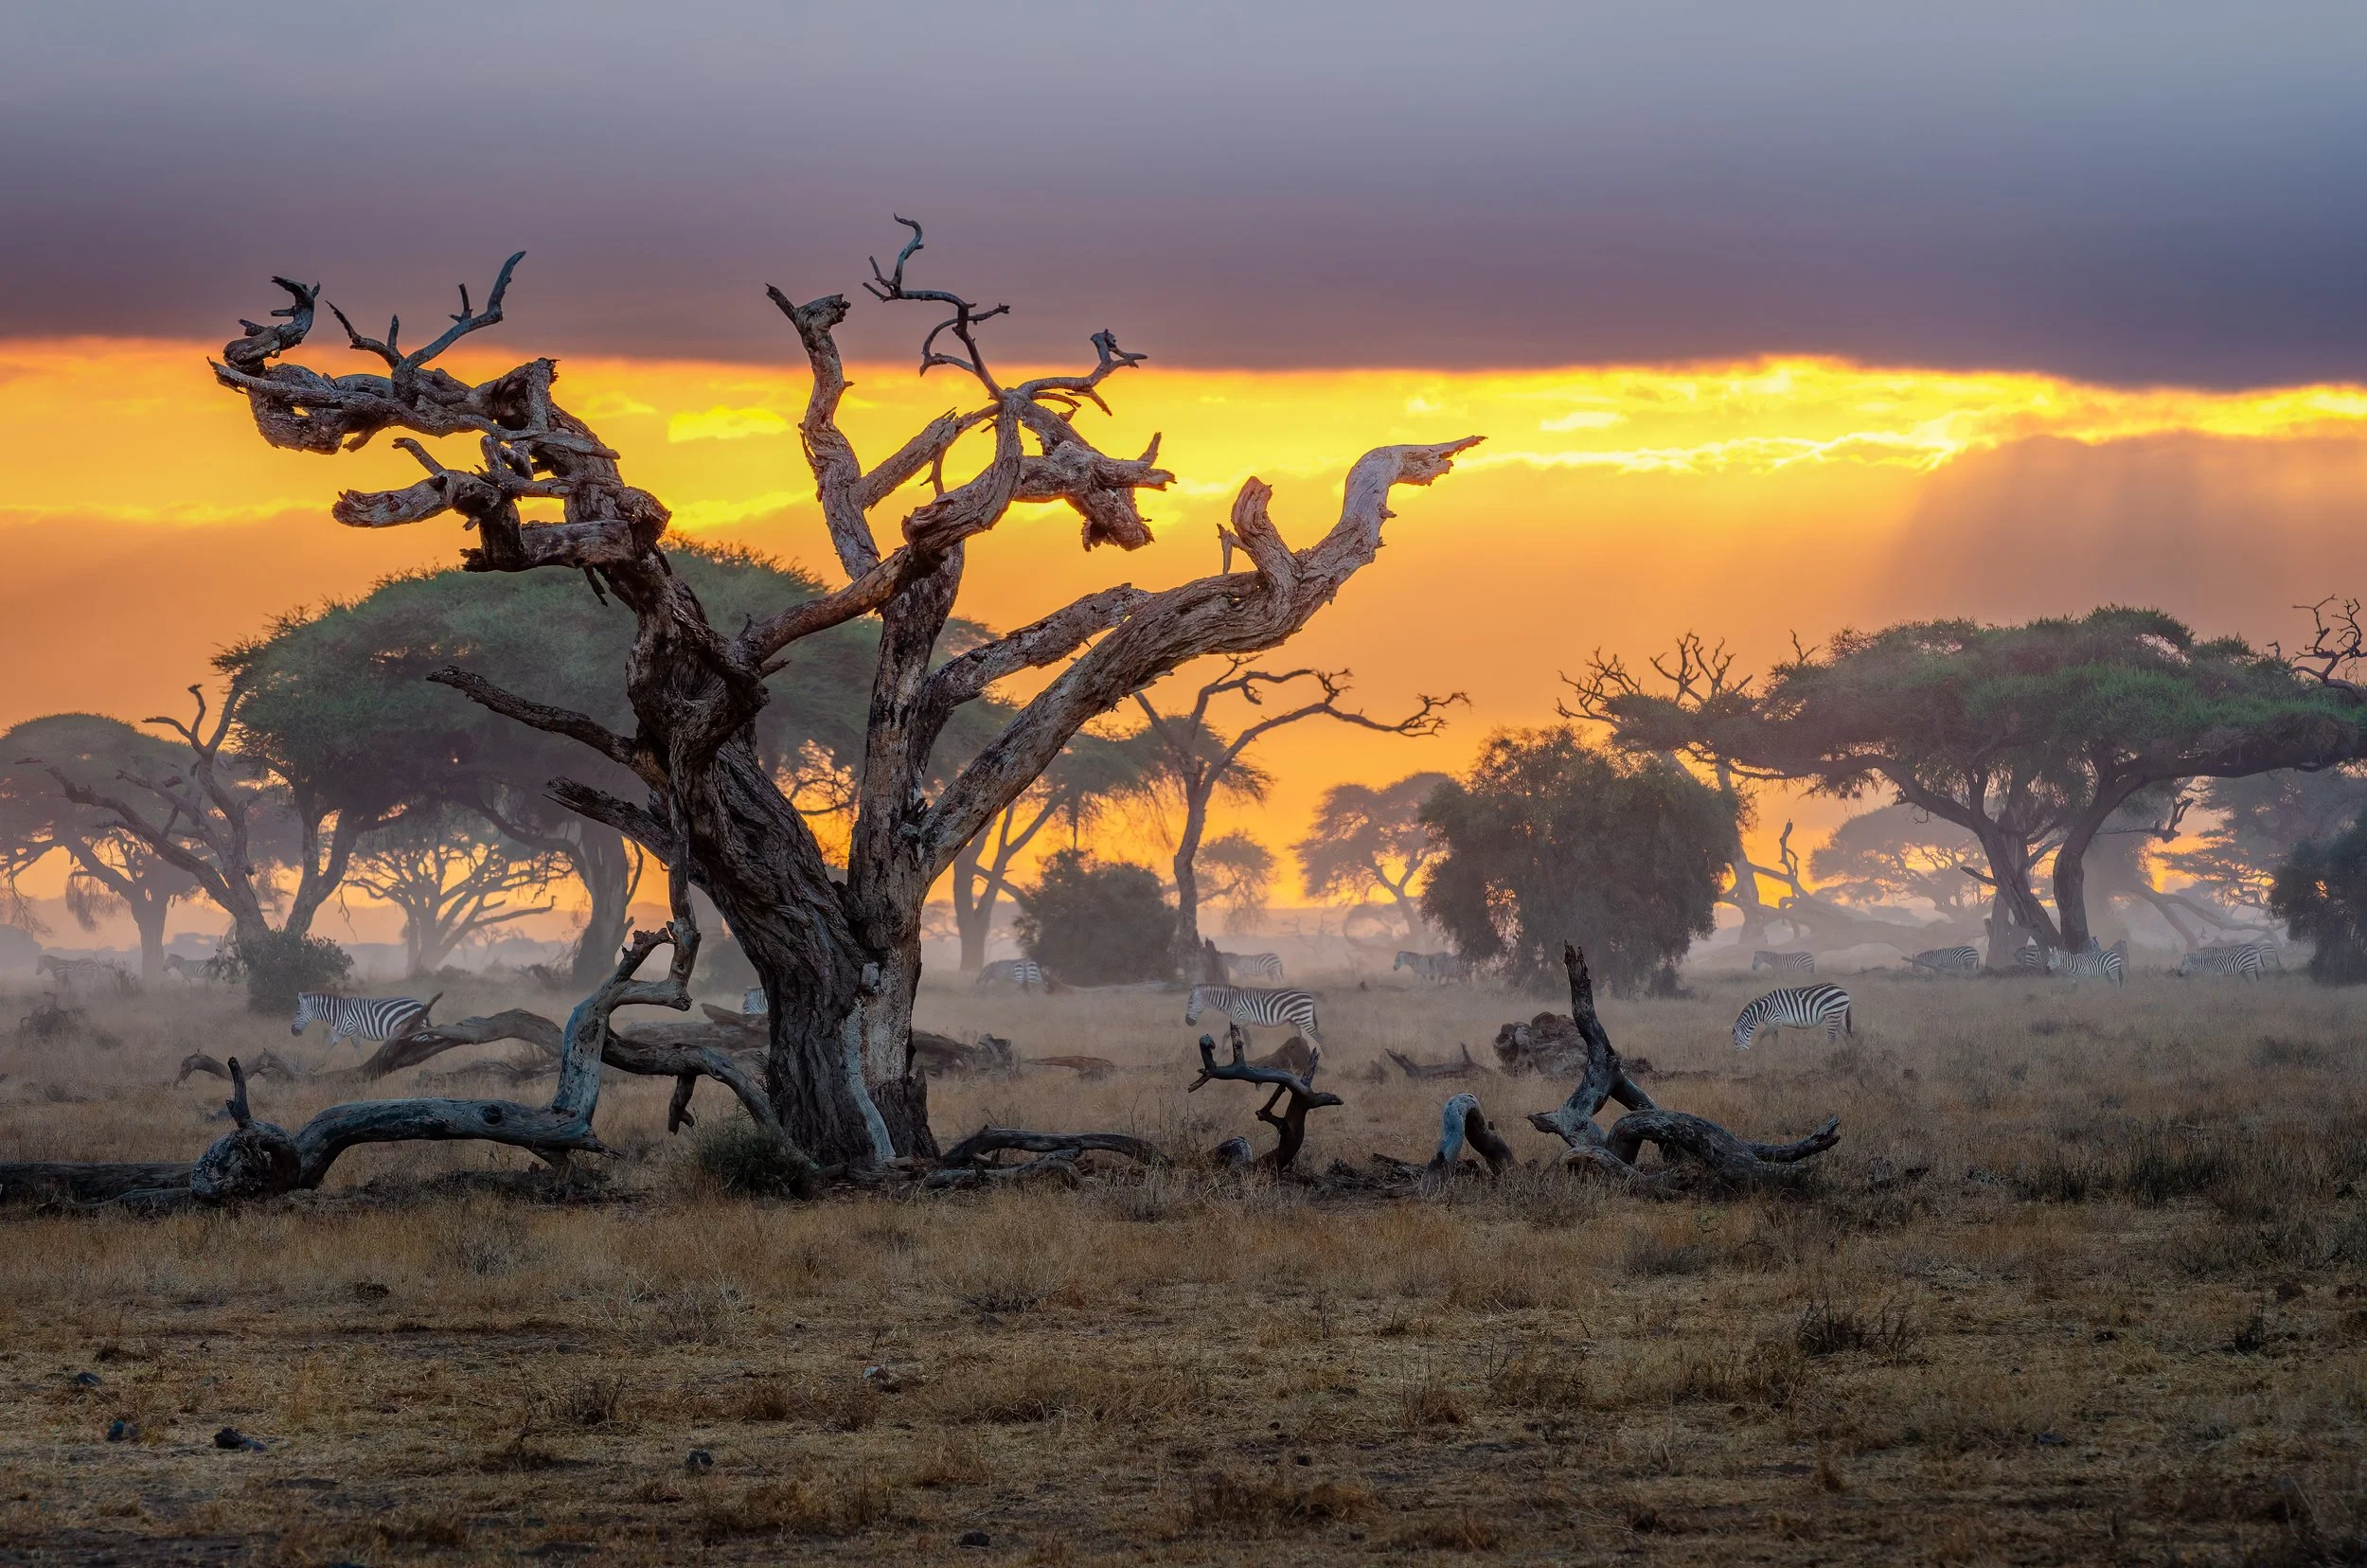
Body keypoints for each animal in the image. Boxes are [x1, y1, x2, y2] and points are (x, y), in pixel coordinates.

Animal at [290, 991, 438, 1049]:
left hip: (418, 1030)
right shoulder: (341, 1032)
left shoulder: (351, 1029)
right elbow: (328, 1048)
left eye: (298, 1013)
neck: (337, 1013)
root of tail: (421, 1004)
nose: (292, 1032)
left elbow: (357, 1049)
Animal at [1186, 984, 1322, 1044]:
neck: (1231, 1002)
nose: (1188, 1022)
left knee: (1319, 1038)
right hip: (1294, 1021)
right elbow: (1227, 1037)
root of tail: (1309, 996)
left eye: (1190, 1002)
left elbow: (1246, 1039)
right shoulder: (1236, 1021)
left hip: (1304, 1018)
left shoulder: (1243, 1019)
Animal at [1732, 984, 1853, 1050]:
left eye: (1736, 1041)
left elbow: (1761, 1035)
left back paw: (1826, 1053)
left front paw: (1757, 1049)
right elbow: (1775, 1037)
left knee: (1832, 1038)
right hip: (1836, 1015)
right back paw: (1849, 1052)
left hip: (1832, 1014)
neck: (1762, 1009)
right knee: (1846, 1034)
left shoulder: (1775, 1020)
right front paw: (1776, 1051)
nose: (1737, 1056)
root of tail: (1843, 991)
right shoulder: (1773, 1022)